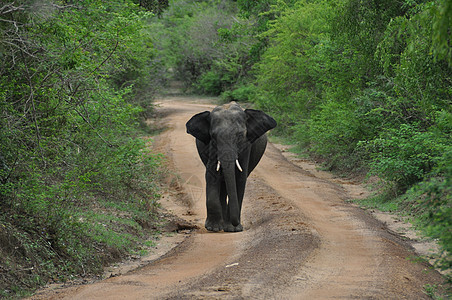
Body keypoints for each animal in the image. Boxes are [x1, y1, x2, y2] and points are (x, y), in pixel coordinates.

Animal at [186, 101, 278, 232]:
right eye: (213, 136)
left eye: (239, 136)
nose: (236, 223)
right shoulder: (212, 147)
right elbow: (211, 175)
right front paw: (213, 228)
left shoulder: (246, 146)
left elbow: (240, 178)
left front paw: (233, 229)